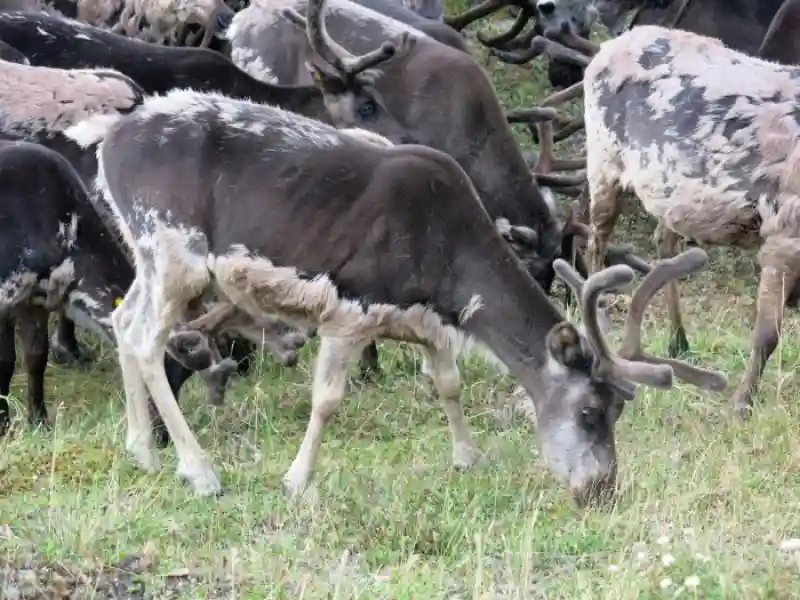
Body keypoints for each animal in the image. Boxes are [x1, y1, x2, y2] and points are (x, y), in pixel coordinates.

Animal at [64, 88, 724, 502]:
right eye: (590, 411)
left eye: (617, 412)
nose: (602, 489)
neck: (448, 276)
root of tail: (106, 142)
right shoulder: (351, 309)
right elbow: (327, 399)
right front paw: (296, 480)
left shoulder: (425, 320)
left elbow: (447, 383)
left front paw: (468, 456)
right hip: (172, 246)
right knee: (146, 336)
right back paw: (199, 471)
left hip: (152, 253)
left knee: (122, 320)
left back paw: (142, 451)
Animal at [580, 24, 800, 418]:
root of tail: (605, 48)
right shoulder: (784, 230)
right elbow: (767, 333)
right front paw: (741, 405)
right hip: (602, 157)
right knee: (597, 237)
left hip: (668, 190)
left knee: (663, 242)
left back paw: (678, 340)